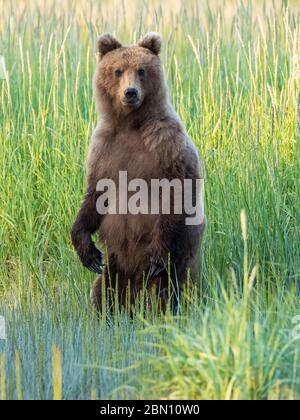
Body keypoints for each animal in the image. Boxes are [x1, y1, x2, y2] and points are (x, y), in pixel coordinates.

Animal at [71, 32, 205, 310]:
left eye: (141, 70)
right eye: (117, 70)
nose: (130, 92)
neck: (130, 125)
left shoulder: (166, 144)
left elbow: (176, 192)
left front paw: (156, 255)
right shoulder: (104, 150)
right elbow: (96, 193)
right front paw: (88, 252)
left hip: (175, 265)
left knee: (166, 291)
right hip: (116, 267)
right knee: (103, 290)